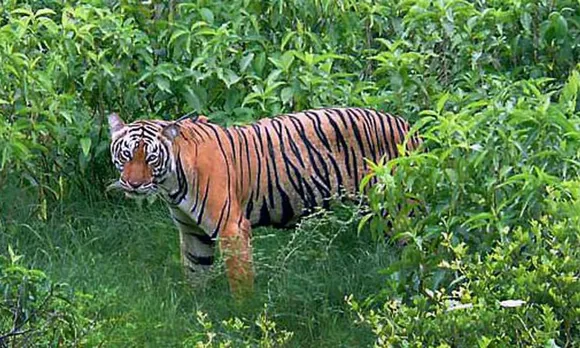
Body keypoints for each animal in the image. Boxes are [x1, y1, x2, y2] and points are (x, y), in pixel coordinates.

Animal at [107, 106, 422, 296]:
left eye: (150, 157)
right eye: (126, 154)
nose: (133, 184)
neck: (172, 182)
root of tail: (409, 125)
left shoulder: (232, 228)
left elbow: (240, 280)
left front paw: (242, 317)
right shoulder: (192, 232)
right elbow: (196, 273)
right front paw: (195, 312)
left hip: (398, 212)